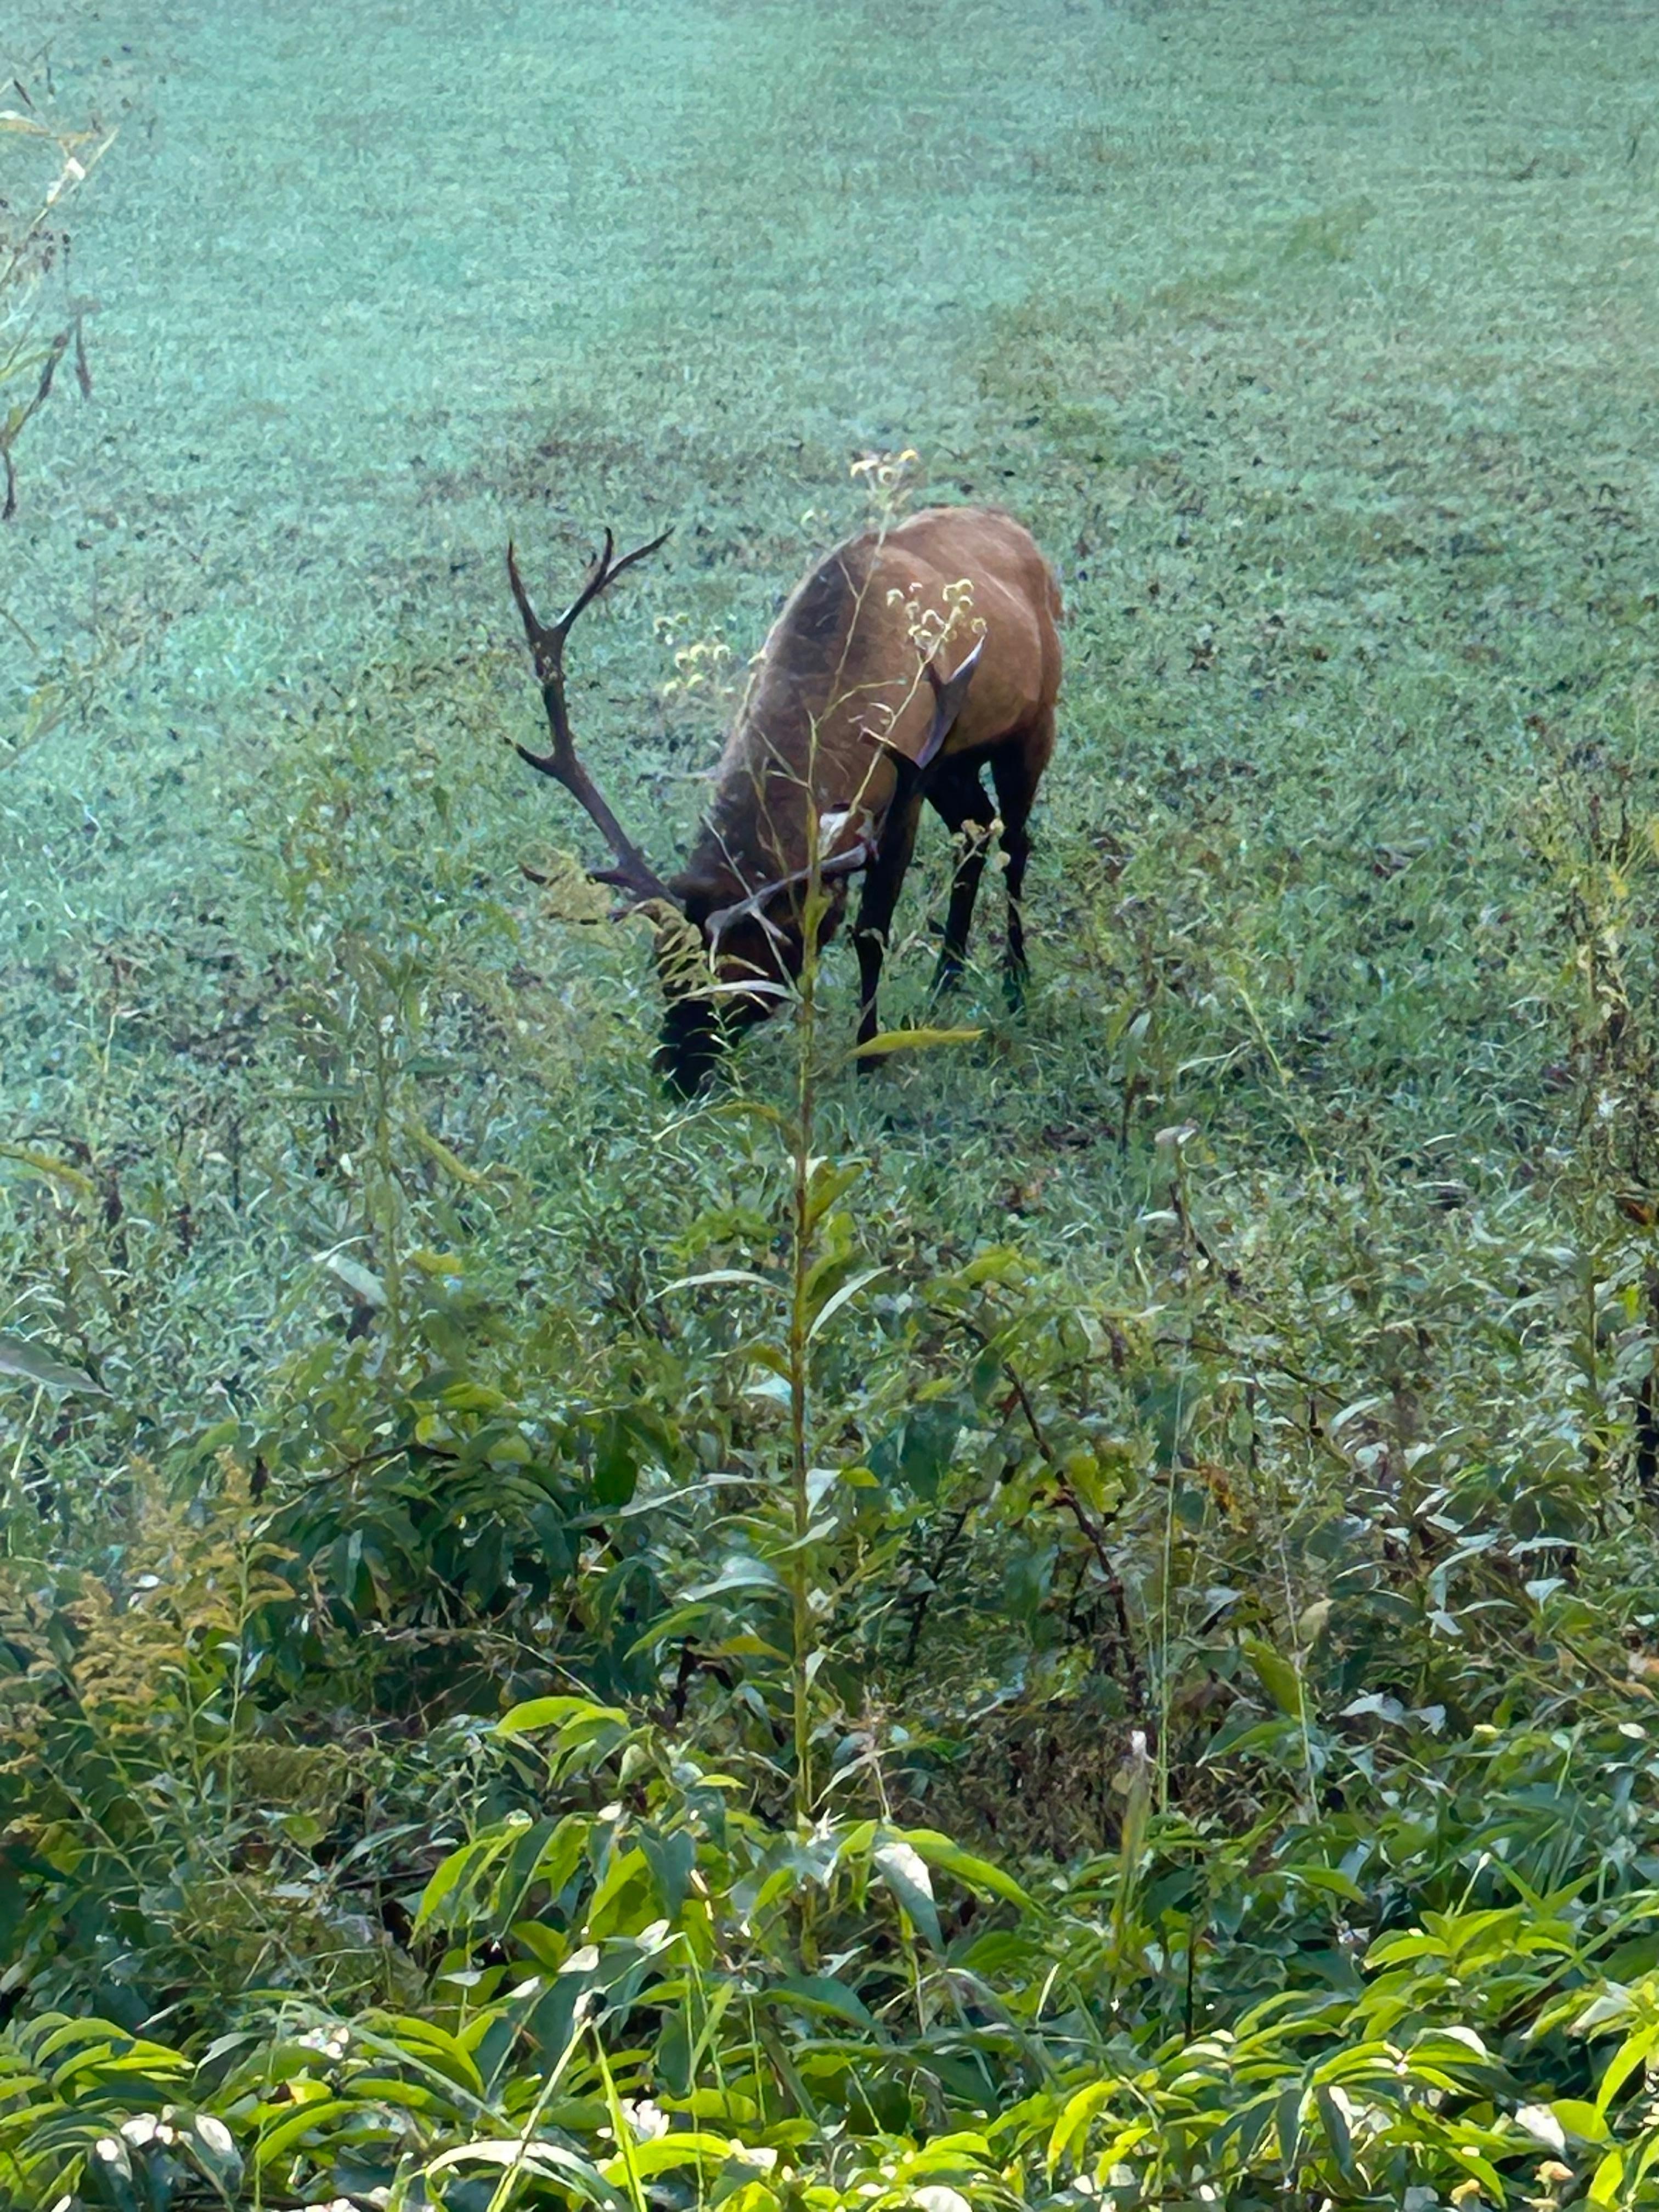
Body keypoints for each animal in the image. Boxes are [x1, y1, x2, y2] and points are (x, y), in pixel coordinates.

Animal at [506, 504, 1063, 1094]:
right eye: (664, 969)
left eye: (743, 978)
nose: (674, 1074)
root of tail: (1021, 537)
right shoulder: (925, 771)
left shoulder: (906, 785)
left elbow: (871, 931)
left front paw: (869, 1055)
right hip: (954, 762)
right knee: (976, 831)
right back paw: (946, 977)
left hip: (1033, 723)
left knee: (1016, 842)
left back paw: (1016, 981)